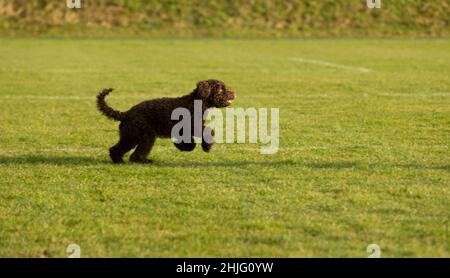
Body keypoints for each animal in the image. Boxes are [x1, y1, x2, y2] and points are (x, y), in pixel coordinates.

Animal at [97, 78, 237, 163]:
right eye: (221, 89)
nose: (234, 93)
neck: (195, 102)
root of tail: (125, 114)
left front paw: (185, 147)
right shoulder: (193, 126)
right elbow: (208, 132)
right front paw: (206, 147)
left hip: (130, 136)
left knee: (116, 149)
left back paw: (118, 160)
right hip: (144, 136)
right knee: (136, 154)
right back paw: (144, 161)